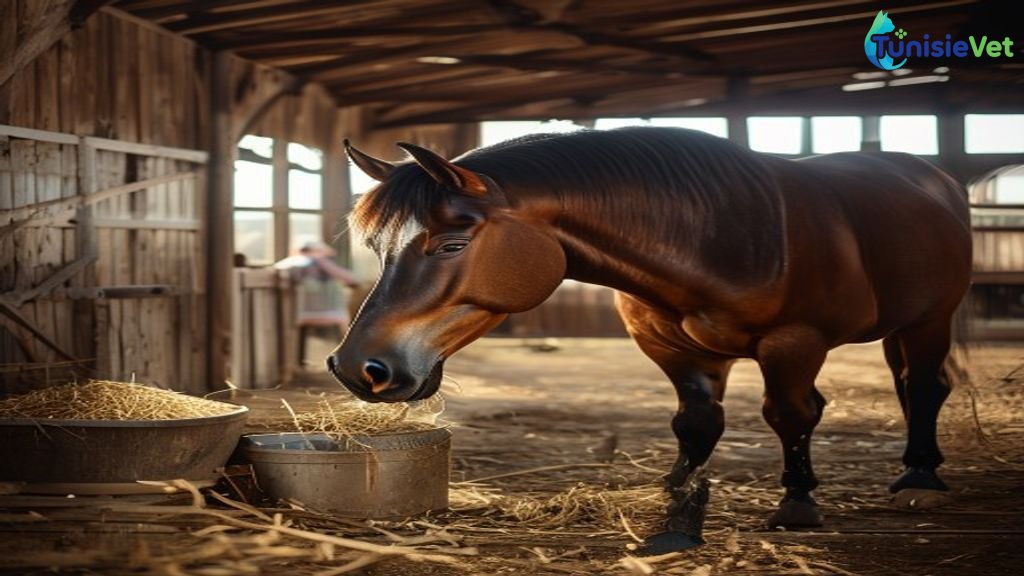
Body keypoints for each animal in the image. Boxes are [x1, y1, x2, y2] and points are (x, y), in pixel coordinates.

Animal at [329, 127, 972, 554]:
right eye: (378, 248)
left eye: (452, 245)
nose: (357, 367)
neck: (723, 232)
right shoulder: (672, 349)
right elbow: (696, 423)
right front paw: (674, 489)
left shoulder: (794, 342)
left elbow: (790, 414)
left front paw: (798, 502)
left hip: (931, 319)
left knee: (923, 387)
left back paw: (919, 478)